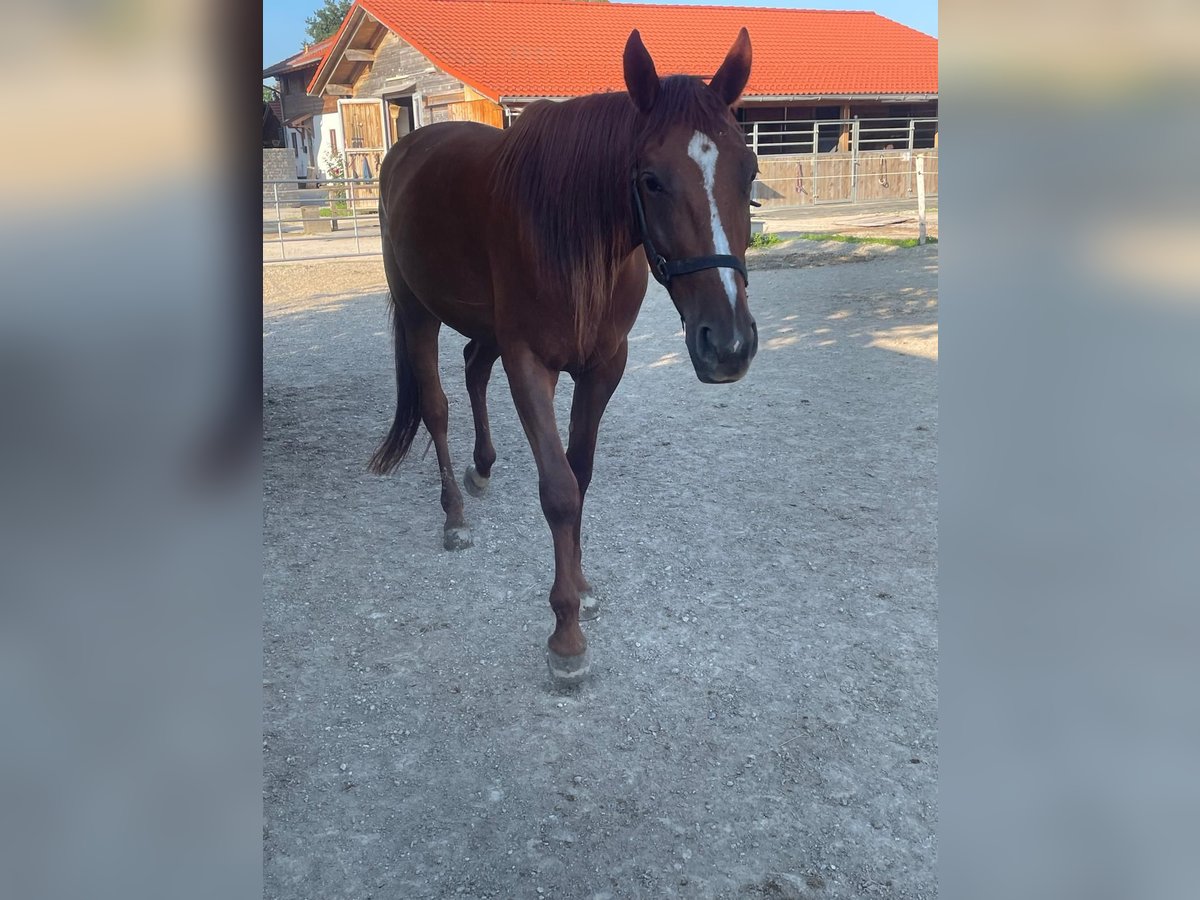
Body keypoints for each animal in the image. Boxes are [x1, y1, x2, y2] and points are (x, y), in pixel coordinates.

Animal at [364, 28, 758, 681]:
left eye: (748, 173)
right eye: (650, 179)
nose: (727, 344)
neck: (571, 228)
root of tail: (408, 148)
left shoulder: (604, 367)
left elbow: (582, 473)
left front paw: (583, 585)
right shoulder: (530, 364)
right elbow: (559, 490)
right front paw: (566, 634)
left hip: (484, 327)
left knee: (473, 367)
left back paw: (482, 468)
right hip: (418, 311)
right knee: (437, 406)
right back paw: (454, 516)